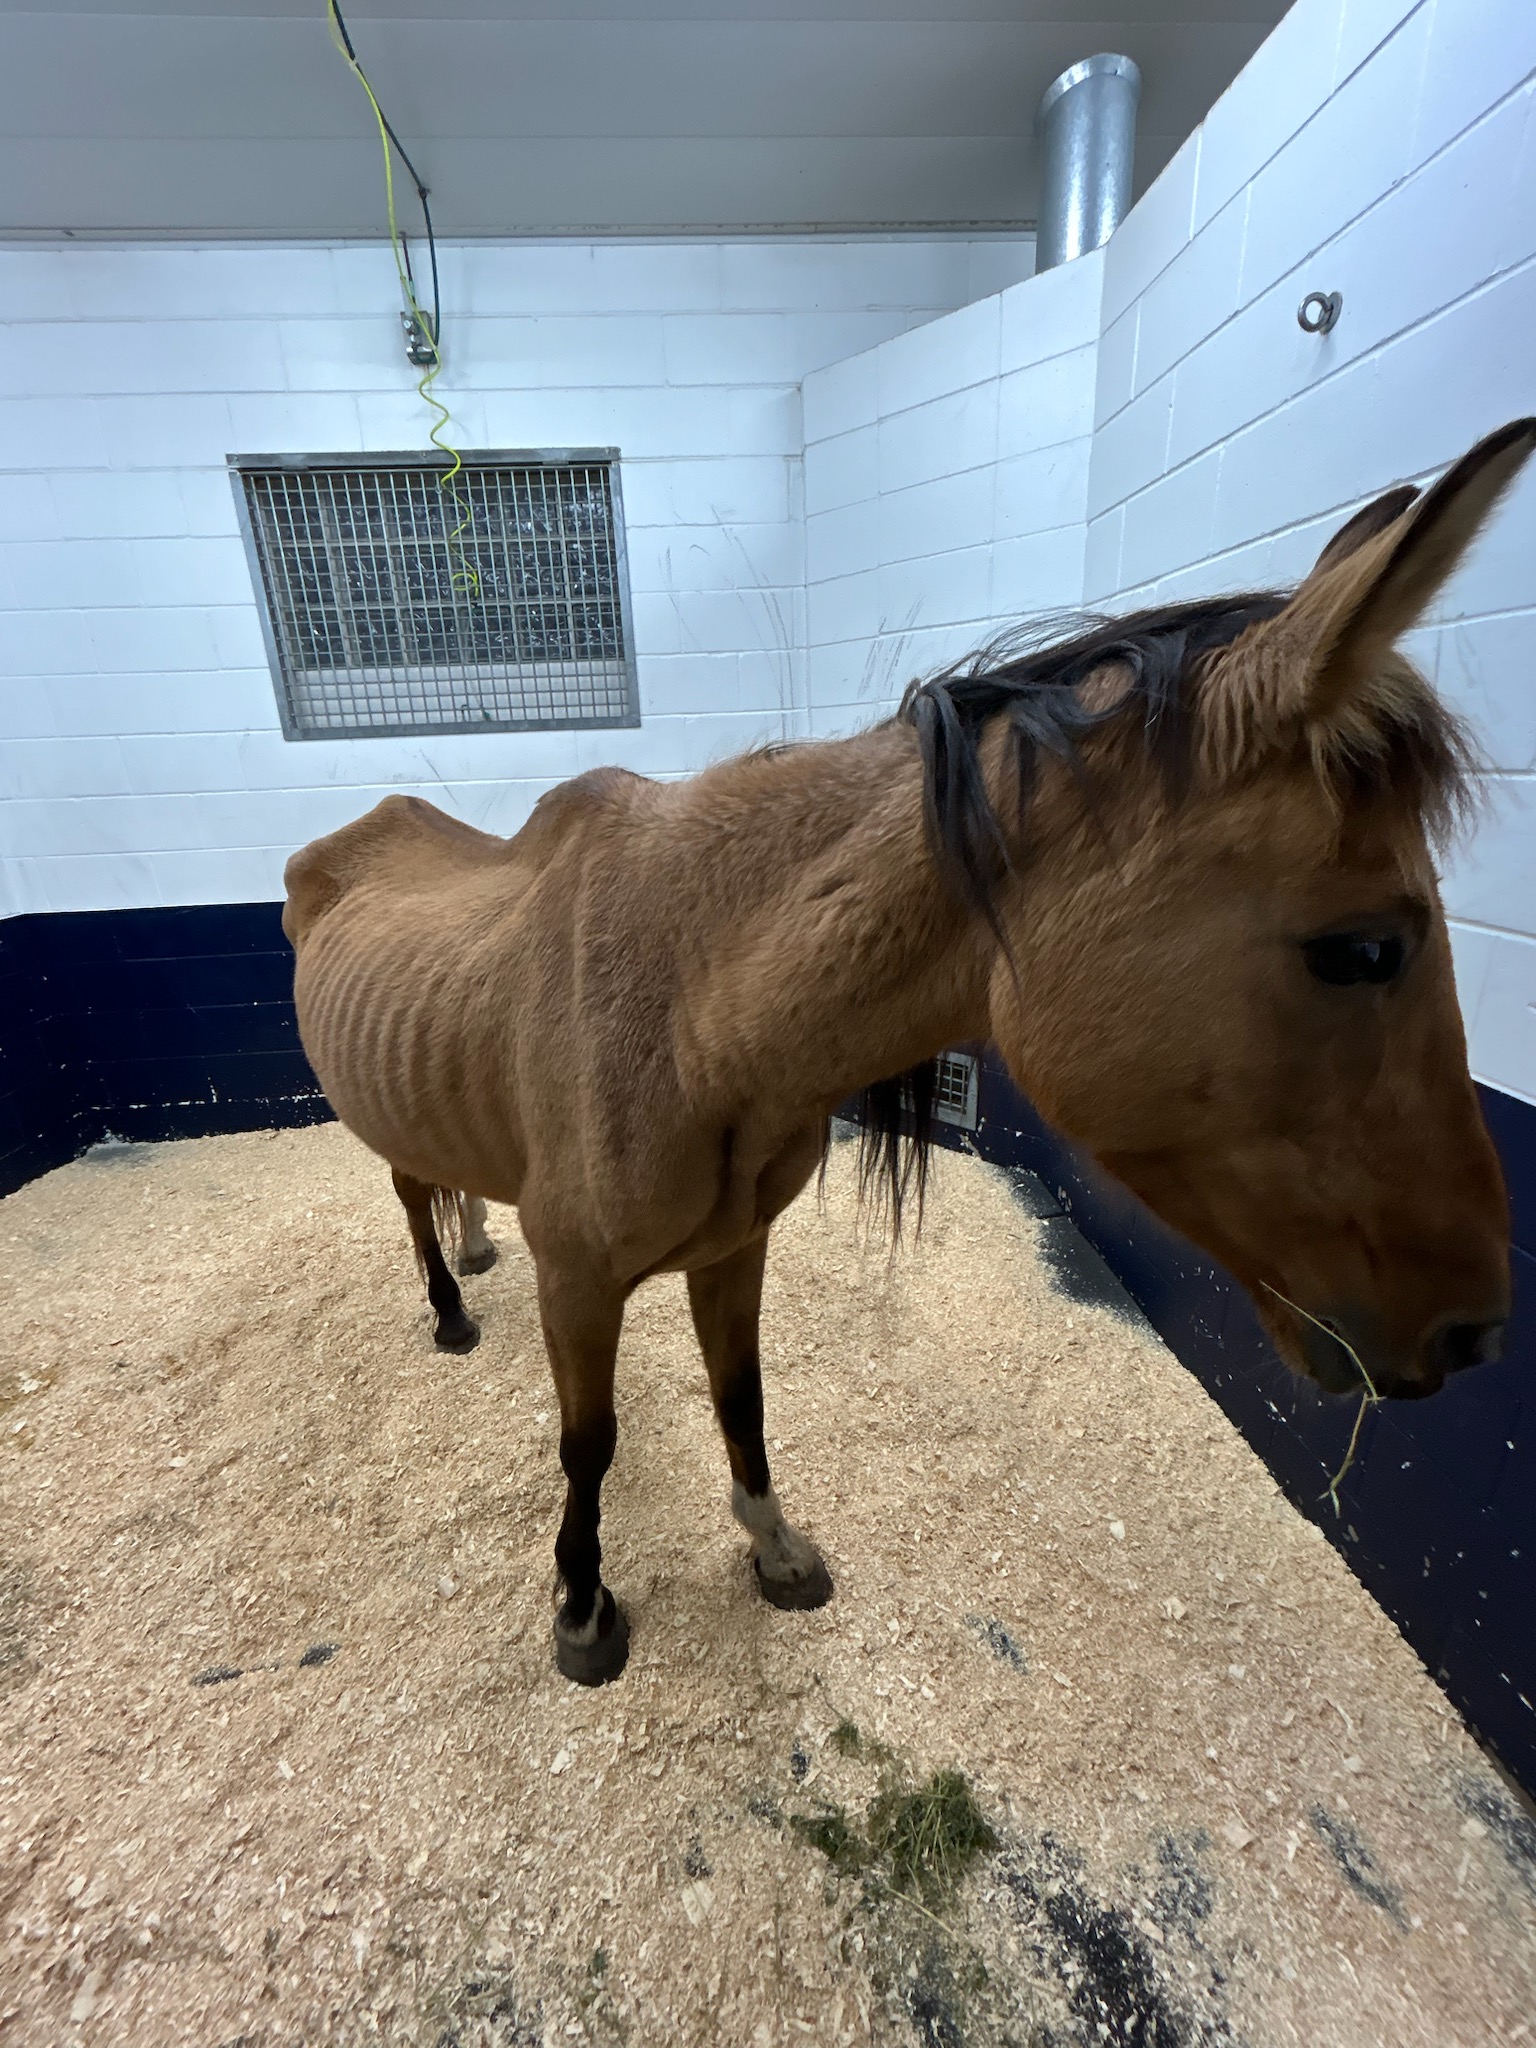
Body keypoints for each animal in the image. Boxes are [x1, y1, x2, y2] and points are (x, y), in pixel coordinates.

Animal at [283, 418, 1531, 1686]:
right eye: (1364, 948)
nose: (1474, 1327)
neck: (689, 1011)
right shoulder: (578, 1280)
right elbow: (590, 1442)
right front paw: (584, 1607)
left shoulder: (732, 1249)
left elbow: (744, 1399)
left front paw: (776, 1551)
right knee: (407, 1193)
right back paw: (448, 1304)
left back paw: (474, 1242)